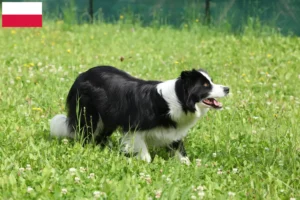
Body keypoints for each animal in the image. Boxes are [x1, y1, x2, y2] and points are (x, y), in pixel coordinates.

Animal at [49, 66, 230, 163]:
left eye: (211, 81)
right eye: (205, 85)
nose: (227, 88)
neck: (178, 99)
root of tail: (82, 74)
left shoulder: (174, 131)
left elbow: (181, 153)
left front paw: (188, 165)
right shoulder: (134, 129)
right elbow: (145, 155)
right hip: (89, 115)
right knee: (86, 134)